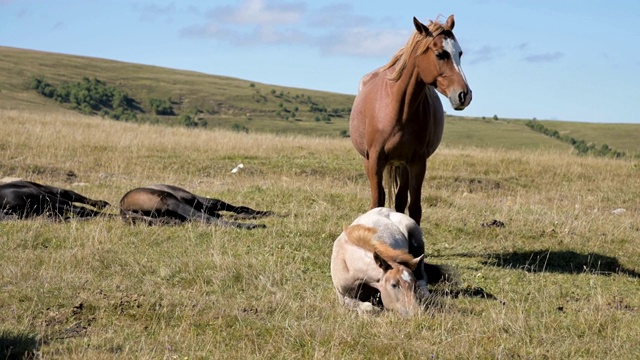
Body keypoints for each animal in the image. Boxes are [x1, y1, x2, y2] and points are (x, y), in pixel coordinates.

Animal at [350, 15, 470, 226]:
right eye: (440, 54)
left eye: (460, 53)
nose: (464, 95)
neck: (399, 110)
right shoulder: (375, 160)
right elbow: (376, 201)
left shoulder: (417, 162)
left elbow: (414, 207)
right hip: (370, 160)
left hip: (402, 164)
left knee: (400, 200)